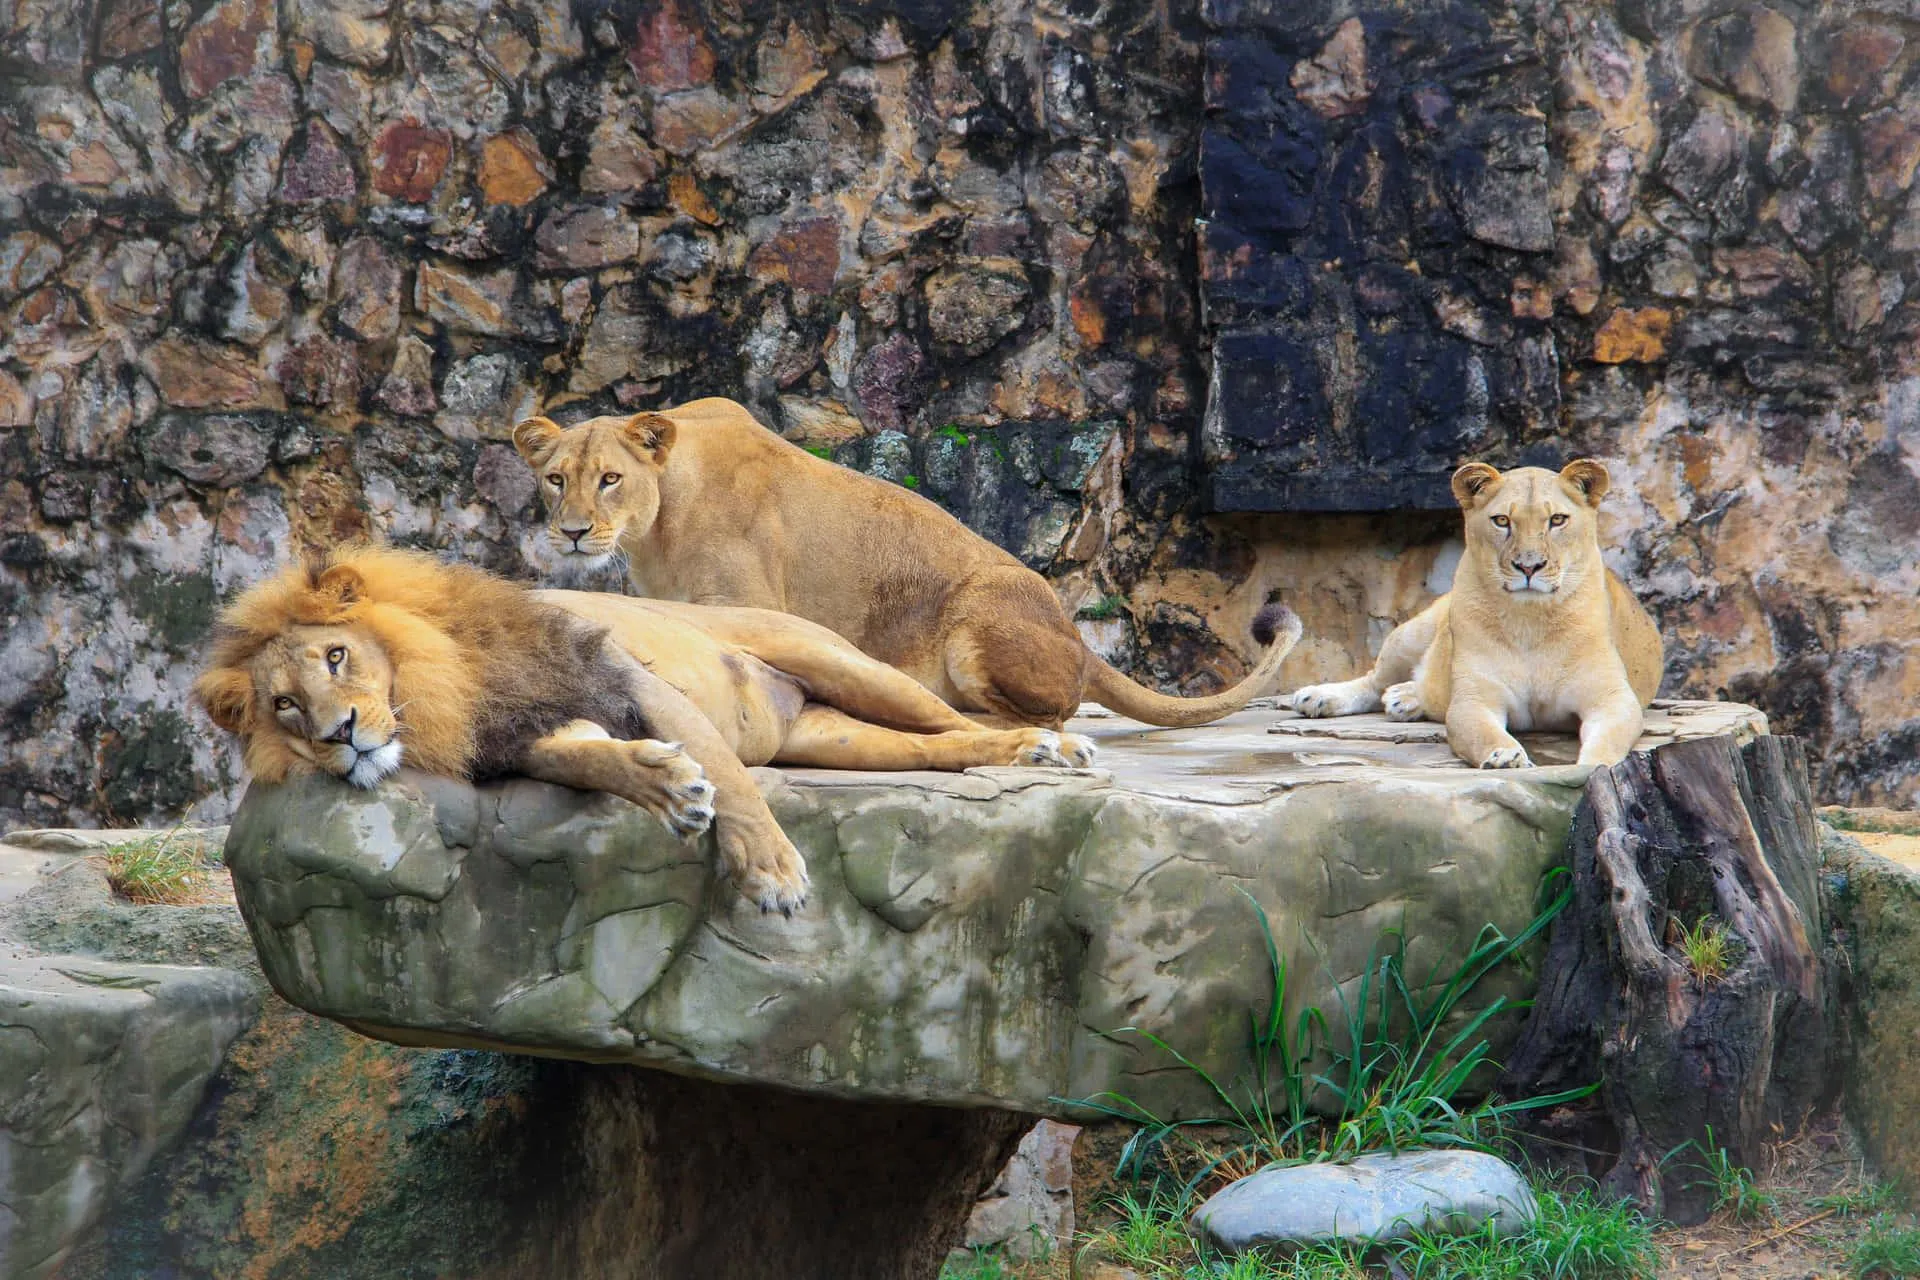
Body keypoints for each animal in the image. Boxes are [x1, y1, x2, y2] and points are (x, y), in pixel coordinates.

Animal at [193, 546, 1100, 915]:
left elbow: (732, 782)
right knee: (938, 745)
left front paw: (771, 872)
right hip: (836, 737)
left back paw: (1049, 745)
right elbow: (595, 764)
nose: (341, 733)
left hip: (838, 661)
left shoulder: (628, 678)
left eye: (337, 655)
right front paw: (665, 786)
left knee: (951, 715)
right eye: (284, 706)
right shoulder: (534, 733)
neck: (444, 686)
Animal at [511, 399, 1302, 729]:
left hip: (977, 618)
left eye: (610, 479)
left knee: (1055, 714)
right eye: (555, 479)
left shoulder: (744, 602)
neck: (657, 522)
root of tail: (1078, 638)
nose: (573, 533)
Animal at [1286, 460, 1662, 769]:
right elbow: (1484, 731)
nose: (1529, 566)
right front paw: (1505, 757)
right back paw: (1319, 697)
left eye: (1557, 520)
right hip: (1409, 635)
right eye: (1502, 521)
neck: (1530, 621)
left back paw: (1404, 698)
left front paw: (1592, 767)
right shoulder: (1475, 699)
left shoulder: (1612, 697)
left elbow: (1609, 740)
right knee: (1372, 680)